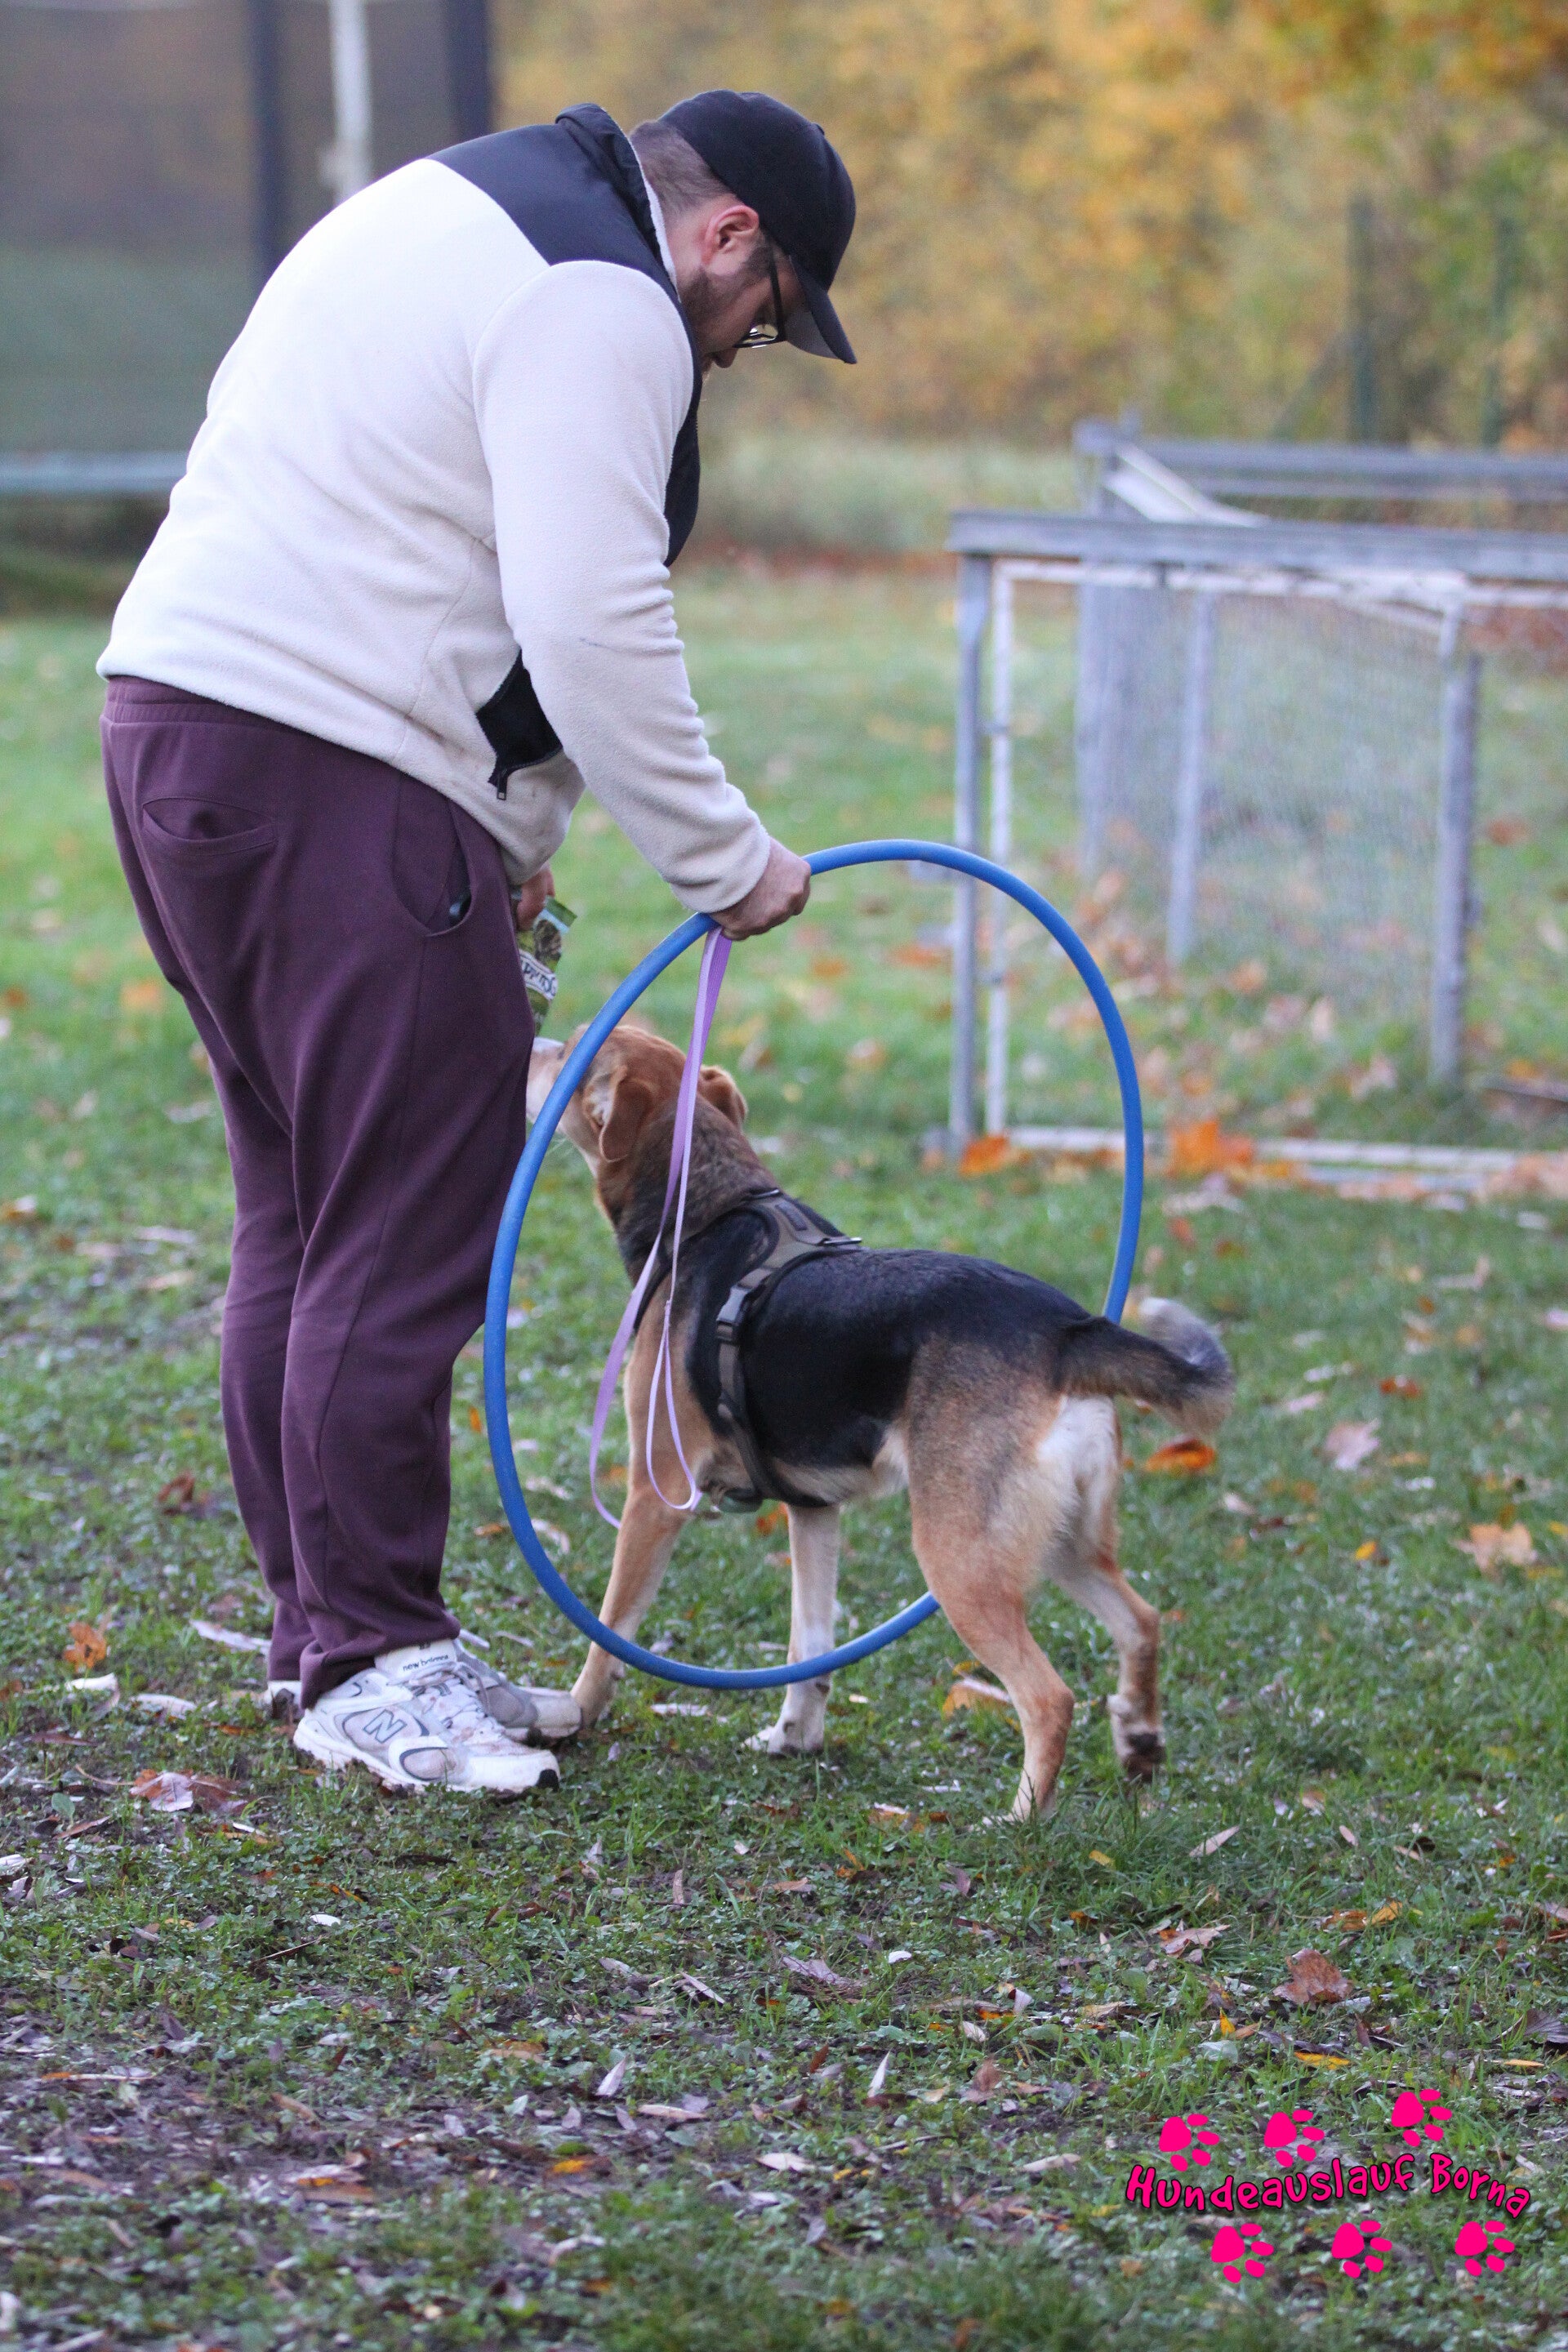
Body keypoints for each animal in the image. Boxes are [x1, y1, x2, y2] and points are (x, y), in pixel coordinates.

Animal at [526, 1022, 1233, 1820]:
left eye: (573, 1055)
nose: (536, 1040)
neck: (705, 1210)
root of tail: (1064, 1334)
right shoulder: (813, 1509)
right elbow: (809, 1642)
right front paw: (794, 1737)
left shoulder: (657, 1492)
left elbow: (610, 1630)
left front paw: (579, 1713)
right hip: (1062, 1538)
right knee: (1142, 1621)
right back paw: (1139, 1740)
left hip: (959, 1559)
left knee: (1049, 1697)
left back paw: (1019, 1820)